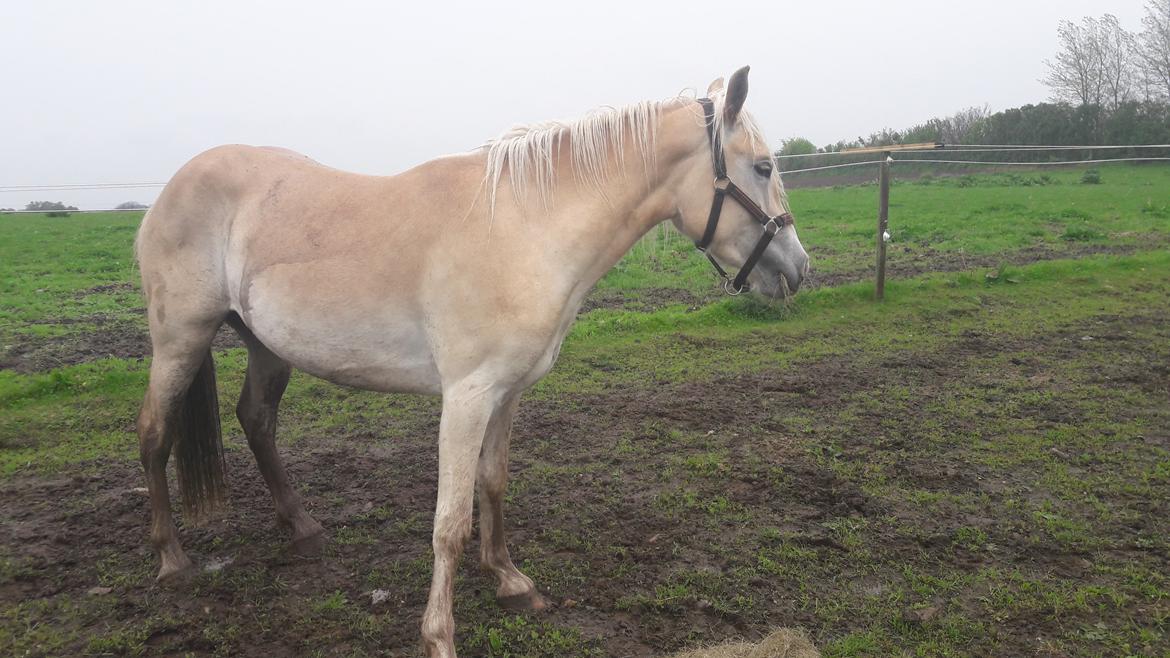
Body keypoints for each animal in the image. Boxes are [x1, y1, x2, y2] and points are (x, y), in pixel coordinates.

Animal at [134, 65, 804, 650]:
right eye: (763, 165)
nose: (798, 270)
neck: (523, 230)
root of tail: (171, 189)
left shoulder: (507, 393)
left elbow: (494, 483)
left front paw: (509, 580)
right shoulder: (466, 397)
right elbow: (450, 521)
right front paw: (439, 636)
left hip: (266, 346)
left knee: (256, 421)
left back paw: (301, 527)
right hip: (180, 338)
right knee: (154, 434)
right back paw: (172, 560)